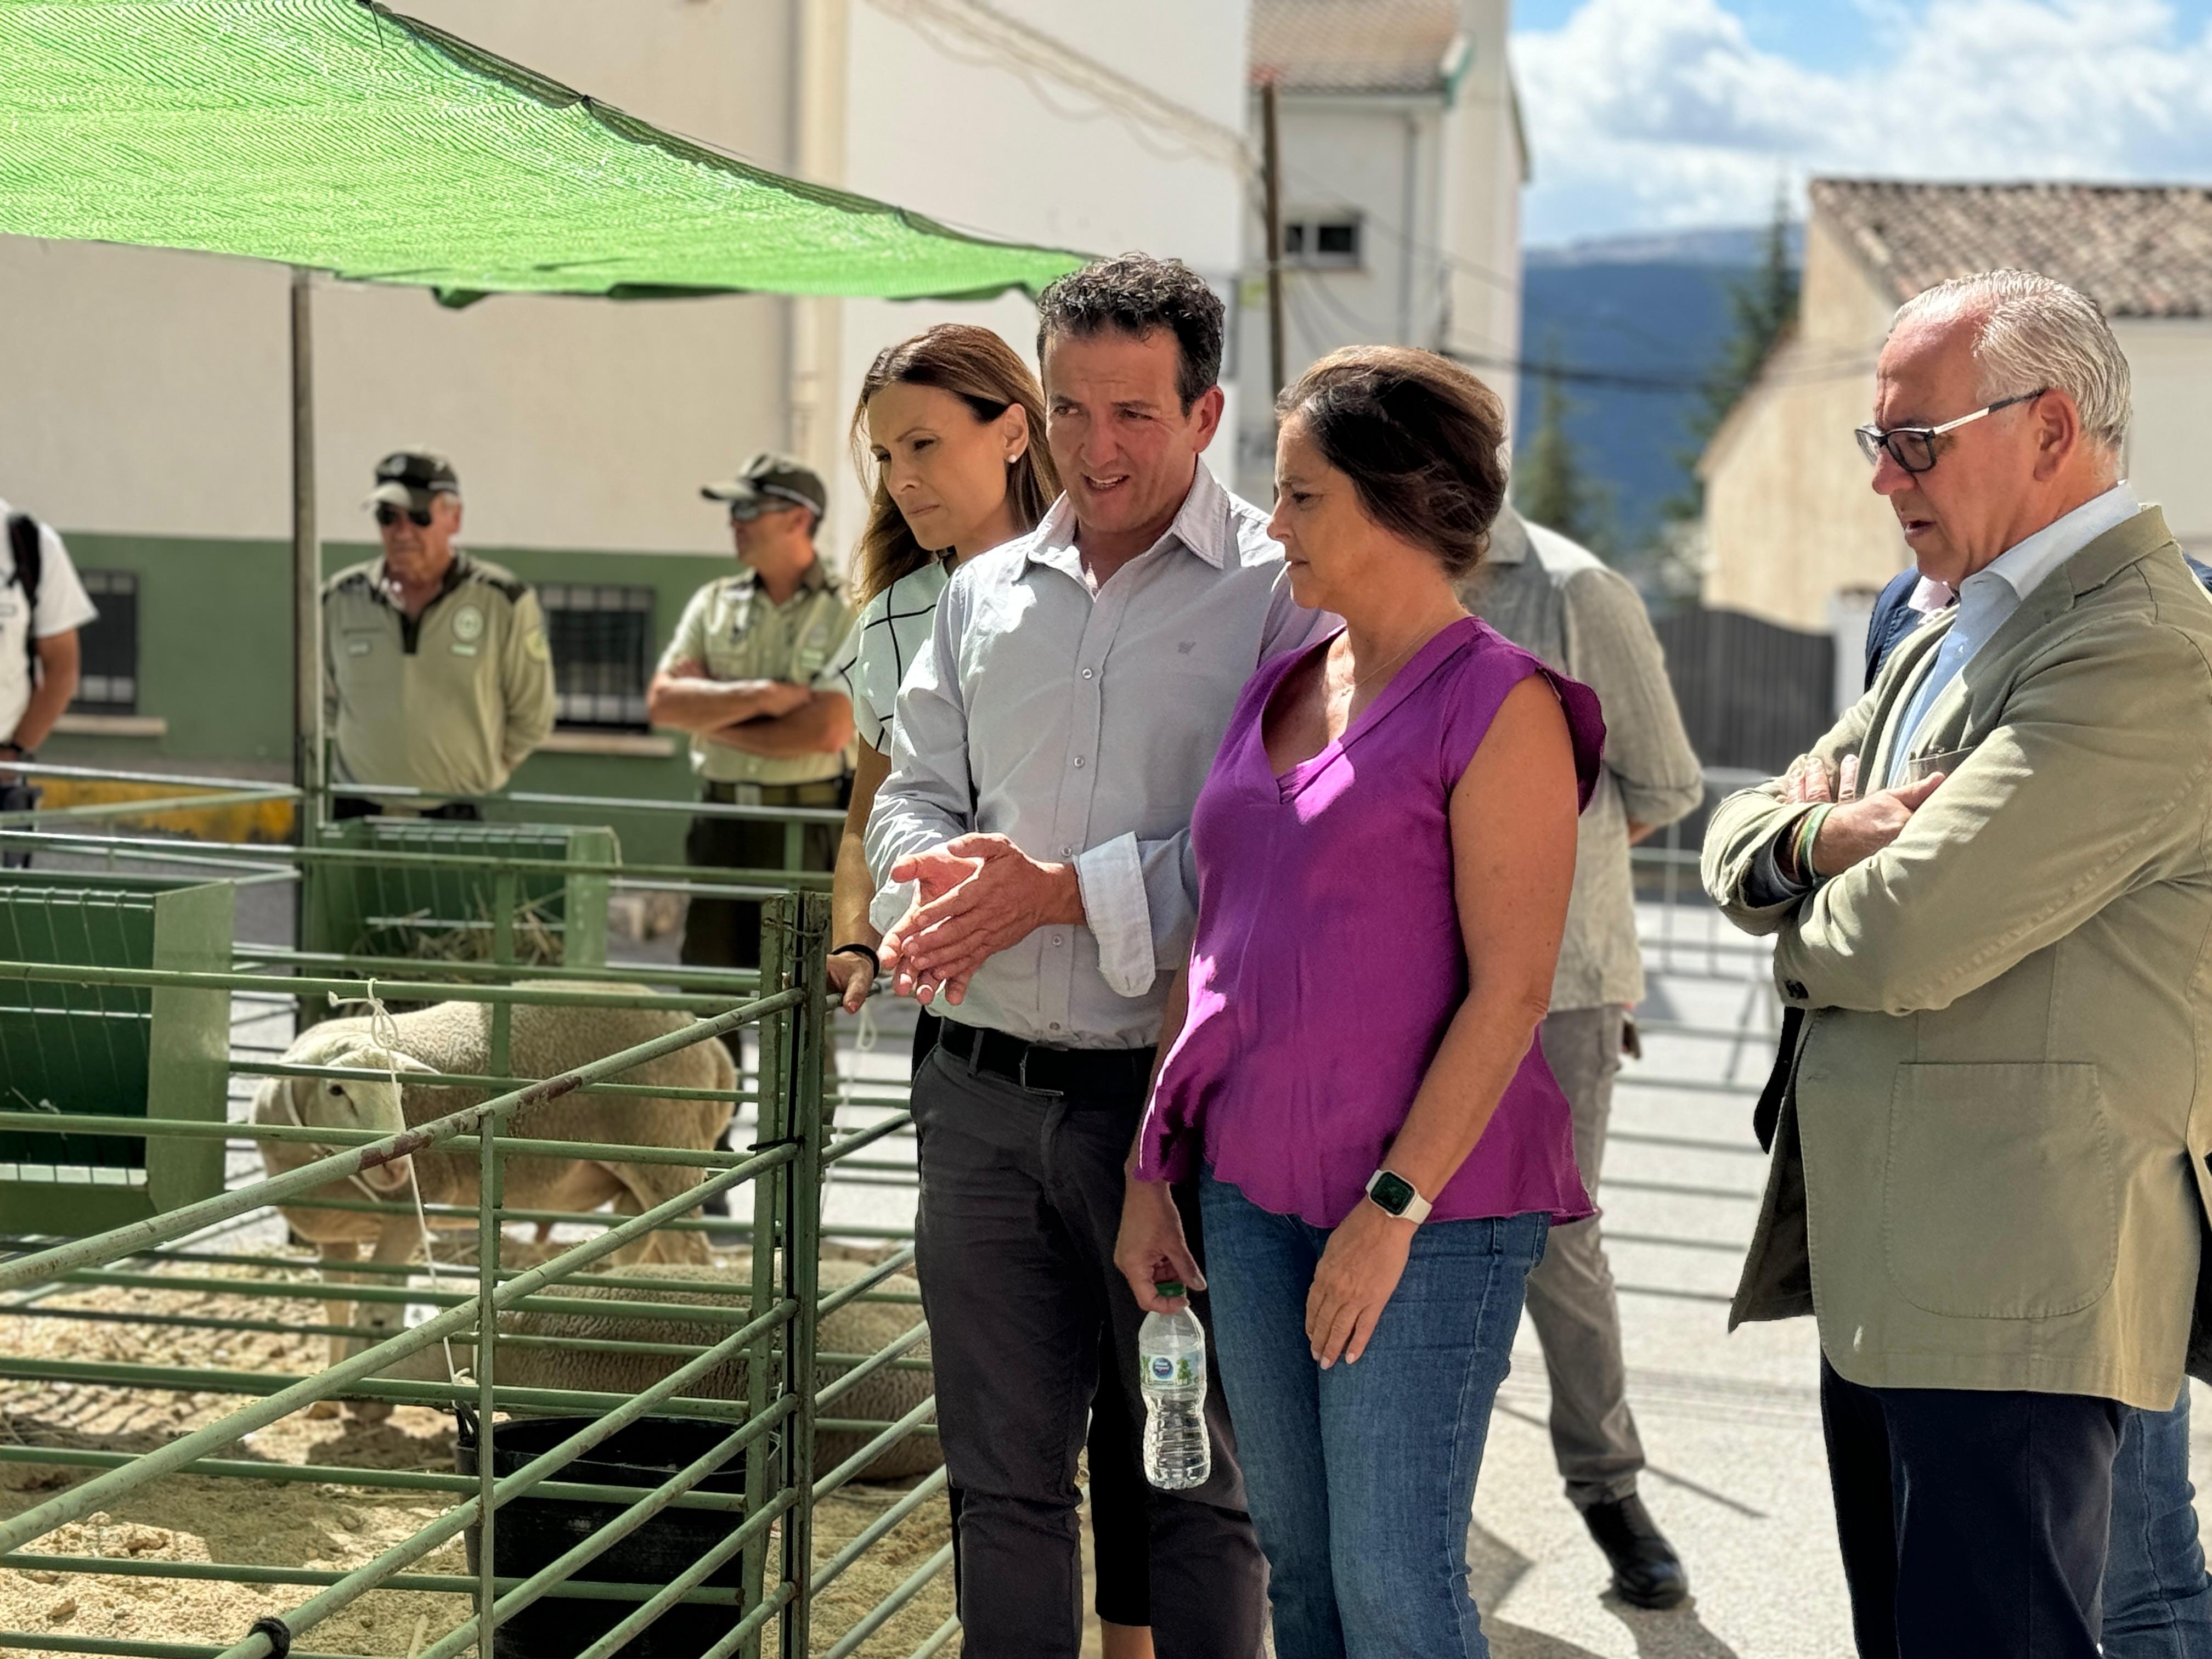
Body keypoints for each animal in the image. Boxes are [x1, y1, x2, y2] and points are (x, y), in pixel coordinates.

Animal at [251, 982, 734, 1380]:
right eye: (336, 1090)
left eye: (400, 1091)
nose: (398, 1165)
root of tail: (714, 1052)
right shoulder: (335, 1233)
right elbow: (337, 1304)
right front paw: (327, 1384)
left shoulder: (411, 1211)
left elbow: (374, 1303)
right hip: (634, 1183)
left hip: (667, 1153)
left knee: (692, 1253)